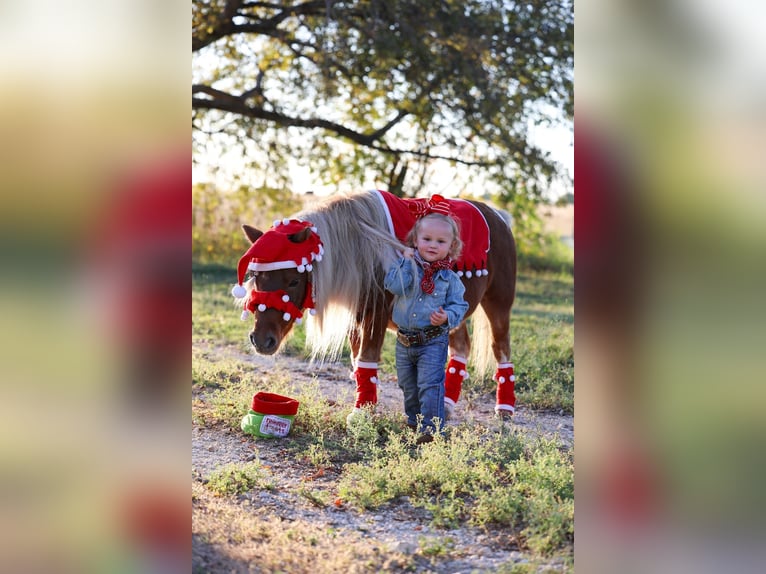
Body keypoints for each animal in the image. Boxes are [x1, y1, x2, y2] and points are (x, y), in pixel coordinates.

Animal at [231, 189, 517, 420]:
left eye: (293, 281)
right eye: (256, 277)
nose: (261, 340)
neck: (360, 252)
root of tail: (499, 216)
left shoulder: (375, 316)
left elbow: (367, 357)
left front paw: (361, 414)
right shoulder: (356, 316)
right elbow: (358, 362)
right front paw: (365, 406)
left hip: (498, 304)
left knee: (501, 347)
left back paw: (505, 409)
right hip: (453, 312)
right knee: (460, 347)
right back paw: (446, 404)